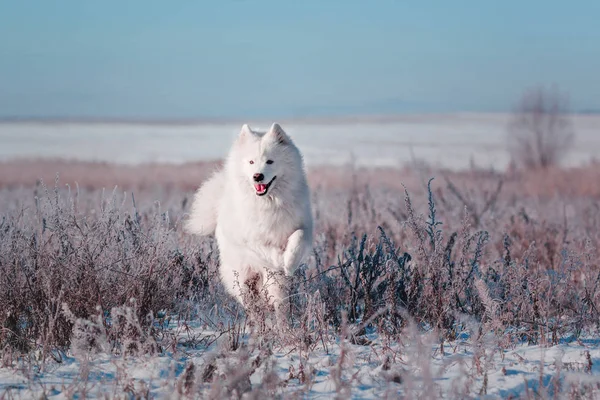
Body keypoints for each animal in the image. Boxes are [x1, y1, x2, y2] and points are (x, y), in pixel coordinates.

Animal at [185, 122, 312, 312]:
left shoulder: (304, 226)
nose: (257, 176)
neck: (267, 203)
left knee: (278, 302)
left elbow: (298, 237)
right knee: (250, 304)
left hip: (274, 288)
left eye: (269, 161)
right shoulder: (248, 238)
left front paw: (289, 262)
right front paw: (279, 258)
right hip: (241, 278)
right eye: (251, 162)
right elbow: (264, 248)